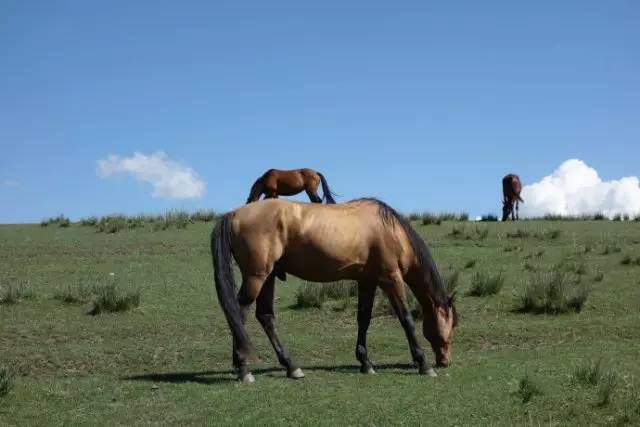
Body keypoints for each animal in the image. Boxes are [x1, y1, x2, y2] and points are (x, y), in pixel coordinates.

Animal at [210, 199, 456, 382]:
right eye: (450, 325)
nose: (445, 361)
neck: (391, 230)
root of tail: (234, 214)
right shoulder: (390, 279)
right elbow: (406, 319)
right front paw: (423, 364)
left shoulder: (367, 281)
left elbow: (364, 318)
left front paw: (365, 362)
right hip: (256, 277)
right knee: (238, 314)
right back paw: (244, 369)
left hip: (268, 277)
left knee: (265, 317)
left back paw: (291, 367)